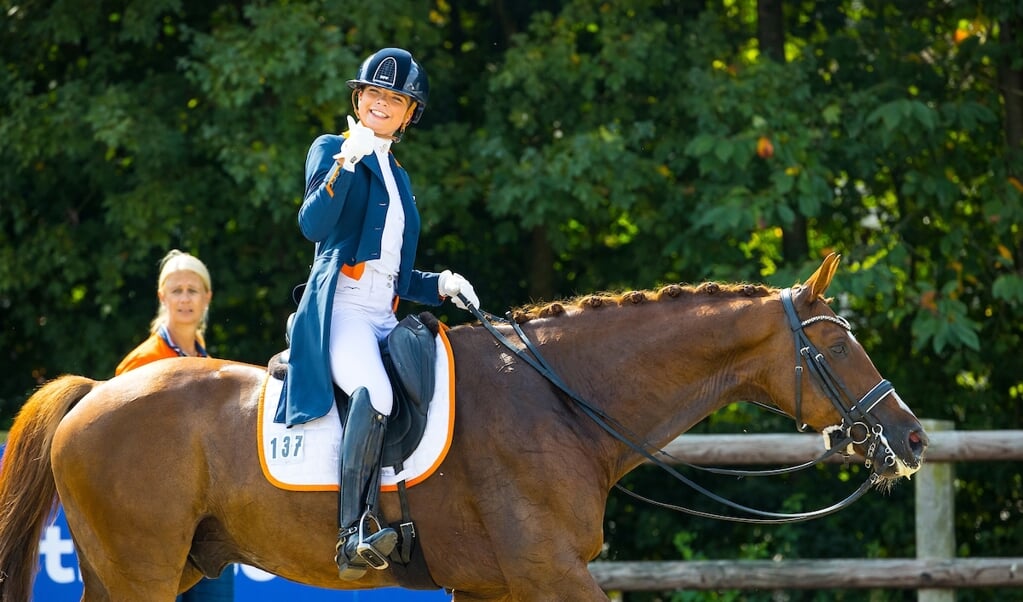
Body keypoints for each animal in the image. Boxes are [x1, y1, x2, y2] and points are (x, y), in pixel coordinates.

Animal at [0, 254, 928, 602]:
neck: (561, 401)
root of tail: (94, 395)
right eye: (836, 346)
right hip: (142, 570)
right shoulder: (549, 573)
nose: (913, 439)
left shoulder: (495, 584)